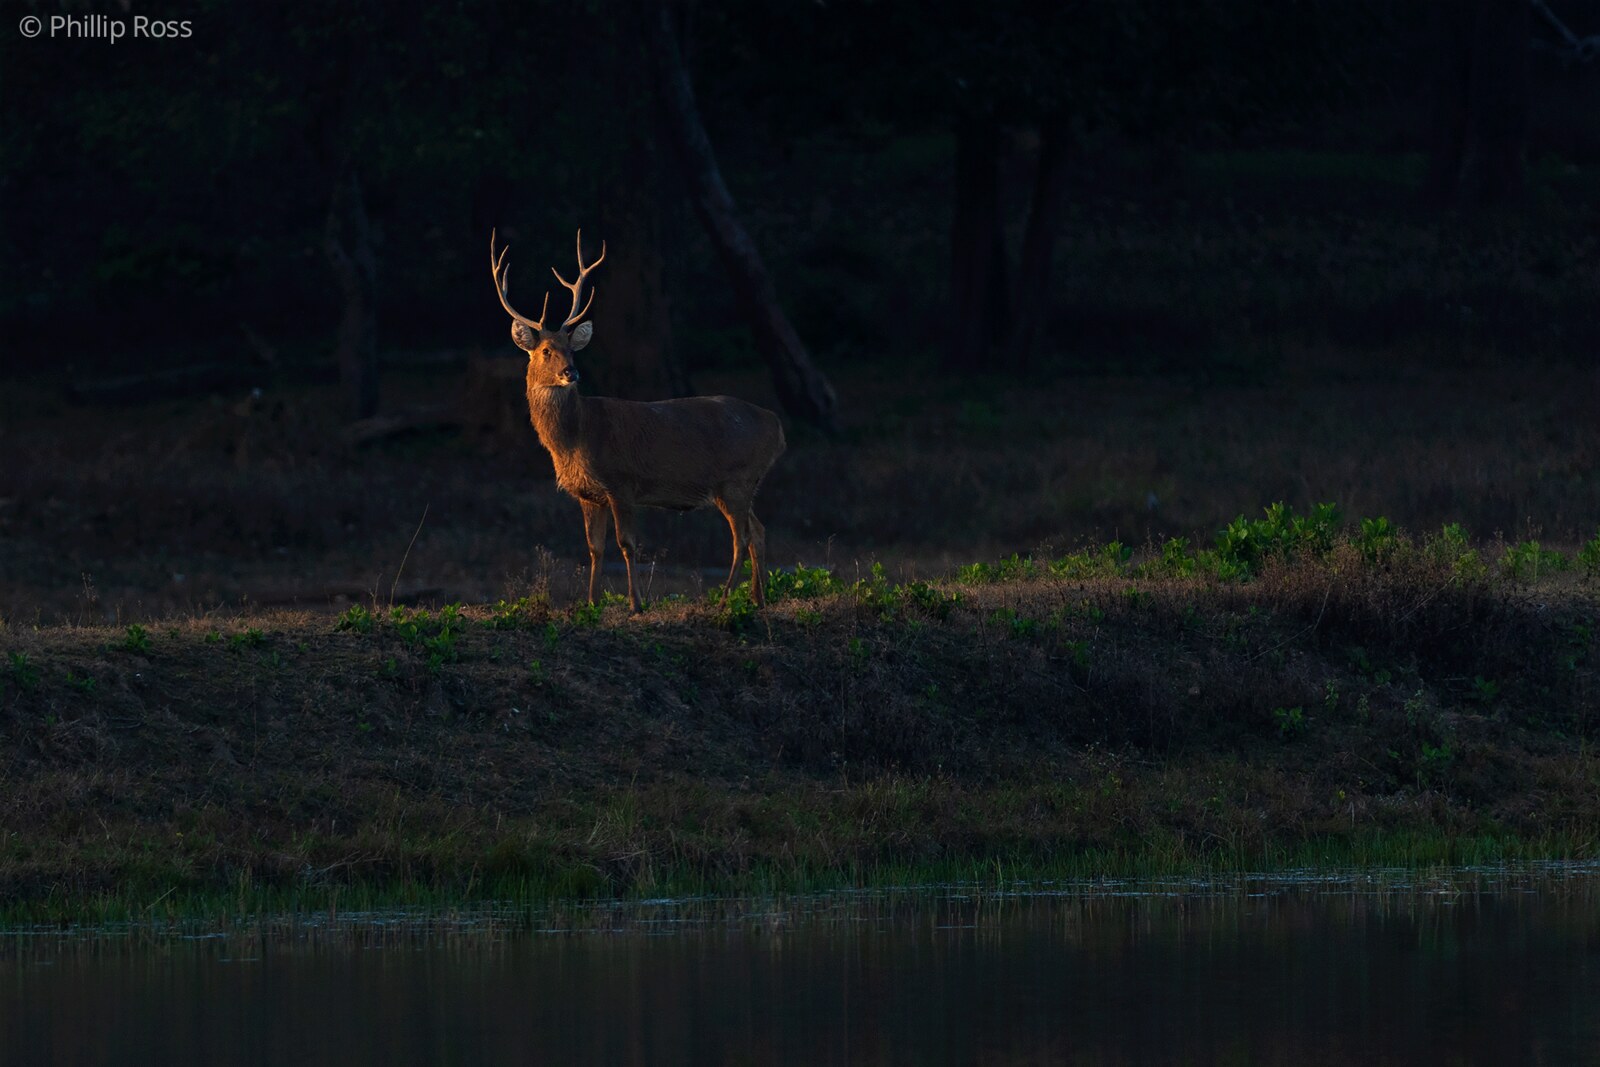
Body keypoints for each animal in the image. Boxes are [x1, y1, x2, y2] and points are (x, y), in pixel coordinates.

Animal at [490, 229, 786, 615]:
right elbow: (594, 548)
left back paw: (725, 600)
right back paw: (758, 598)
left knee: (742, 536)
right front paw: (591, 602)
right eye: (546, 351)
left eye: (572, 350)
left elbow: (627, 544)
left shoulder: (621, 482)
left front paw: (635, 603)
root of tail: (776, 425)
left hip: (736, 478)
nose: (572, 373)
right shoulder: (587, 494)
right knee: (759, 531)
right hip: (742, 484)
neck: (576, 437)